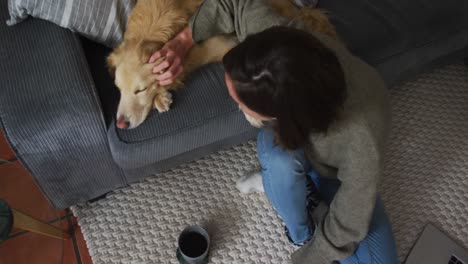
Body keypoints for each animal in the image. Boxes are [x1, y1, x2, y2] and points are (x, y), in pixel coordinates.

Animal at [108, 0, 338, 129]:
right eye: (118, 90)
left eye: (140, 90)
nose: (120, 124)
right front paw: (160, 98)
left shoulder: (227, 45)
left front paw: (249, 112)